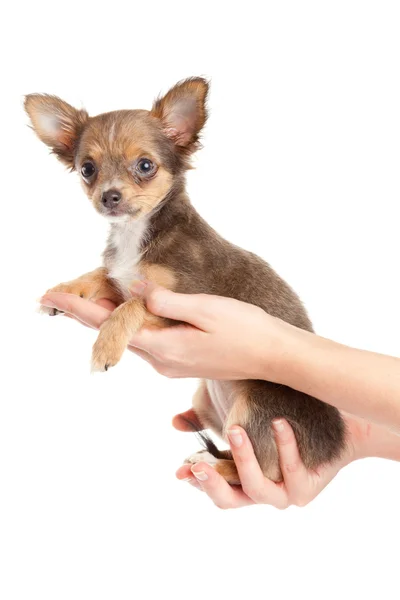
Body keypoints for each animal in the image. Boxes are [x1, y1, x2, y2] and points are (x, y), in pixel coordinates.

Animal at [25, 78, 346, 482]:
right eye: (87, 169)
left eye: (145, 165)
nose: (109, 196)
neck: (136, 234)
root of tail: (330, 447)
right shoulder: (118, 275)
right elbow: (101, 275)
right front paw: (61, 292)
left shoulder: (185, 301)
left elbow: (132, 305)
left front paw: (105, 347)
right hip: (206, 402)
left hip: (258, 410)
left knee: (257, 472)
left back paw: (210, 465)